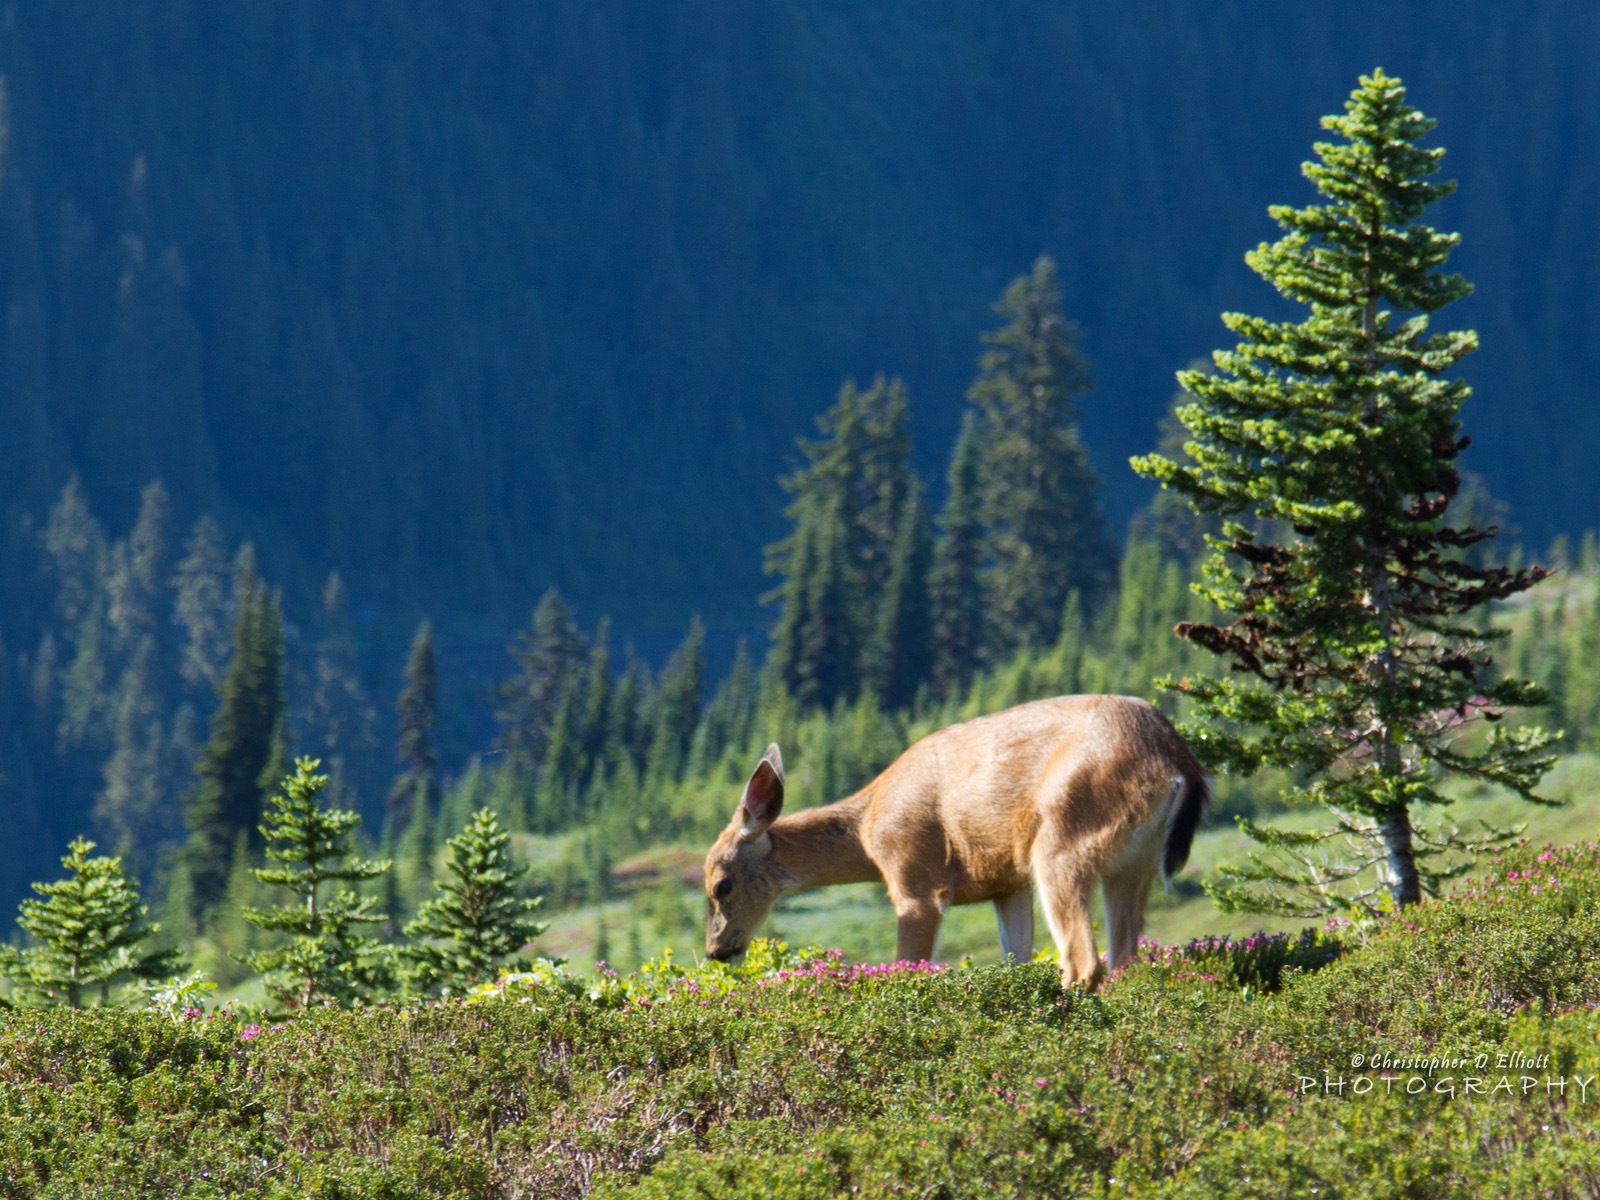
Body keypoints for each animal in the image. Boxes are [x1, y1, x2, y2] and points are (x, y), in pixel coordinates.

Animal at [700, 694, 1203, 998]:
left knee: (1085, 961)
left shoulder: (915, 875)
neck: (868, 828)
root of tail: (1179, 763)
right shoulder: (1007, 884)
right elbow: (1016, 958)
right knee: (1125, 961)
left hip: (1063, 838)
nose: (715, 951)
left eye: (720, 886)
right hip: (1134, 862)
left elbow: (907, 964)